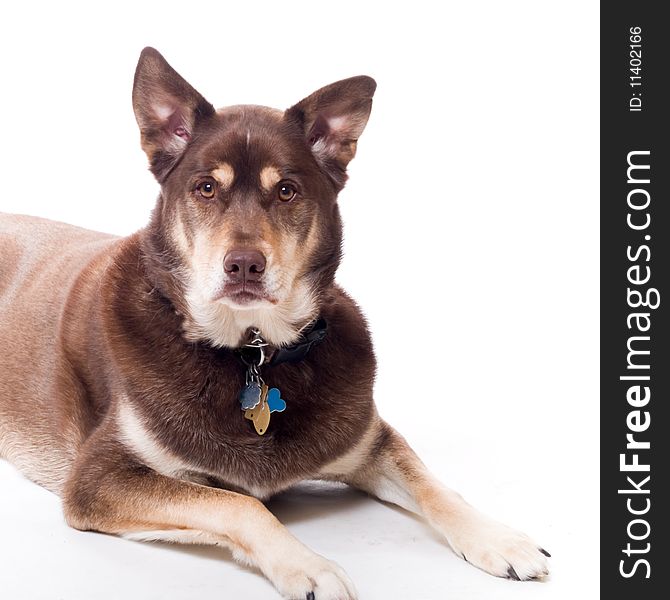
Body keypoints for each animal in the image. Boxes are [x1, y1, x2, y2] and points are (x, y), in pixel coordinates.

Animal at [0, 49, 552, 596]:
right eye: (206, 187)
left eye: (286, 191)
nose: (244, 265)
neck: (253, 349)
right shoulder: (98, 479)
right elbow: (238, 503)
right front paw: (308, 565)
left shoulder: (370, 440)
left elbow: (435, 485)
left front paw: (499, 539)